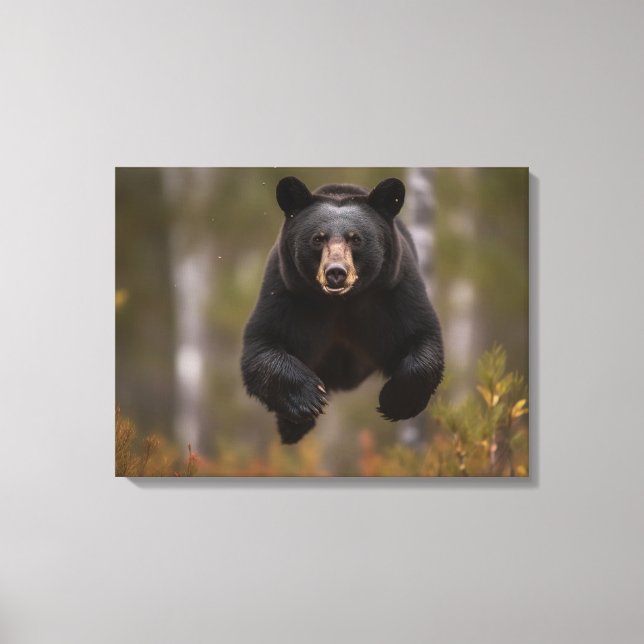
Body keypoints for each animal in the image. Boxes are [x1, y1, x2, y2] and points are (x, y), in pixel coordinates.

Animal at [241, 175, 444, 444]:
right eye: (318, 238)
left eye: (355, 238)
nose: (336, 272)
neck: (342, 300)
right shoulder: (285, 291)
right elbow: (262, 344)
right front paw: (309, 399)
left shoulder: (395, 291)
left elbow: (422, 337)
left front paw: (394, 402)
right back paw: (292, 428)